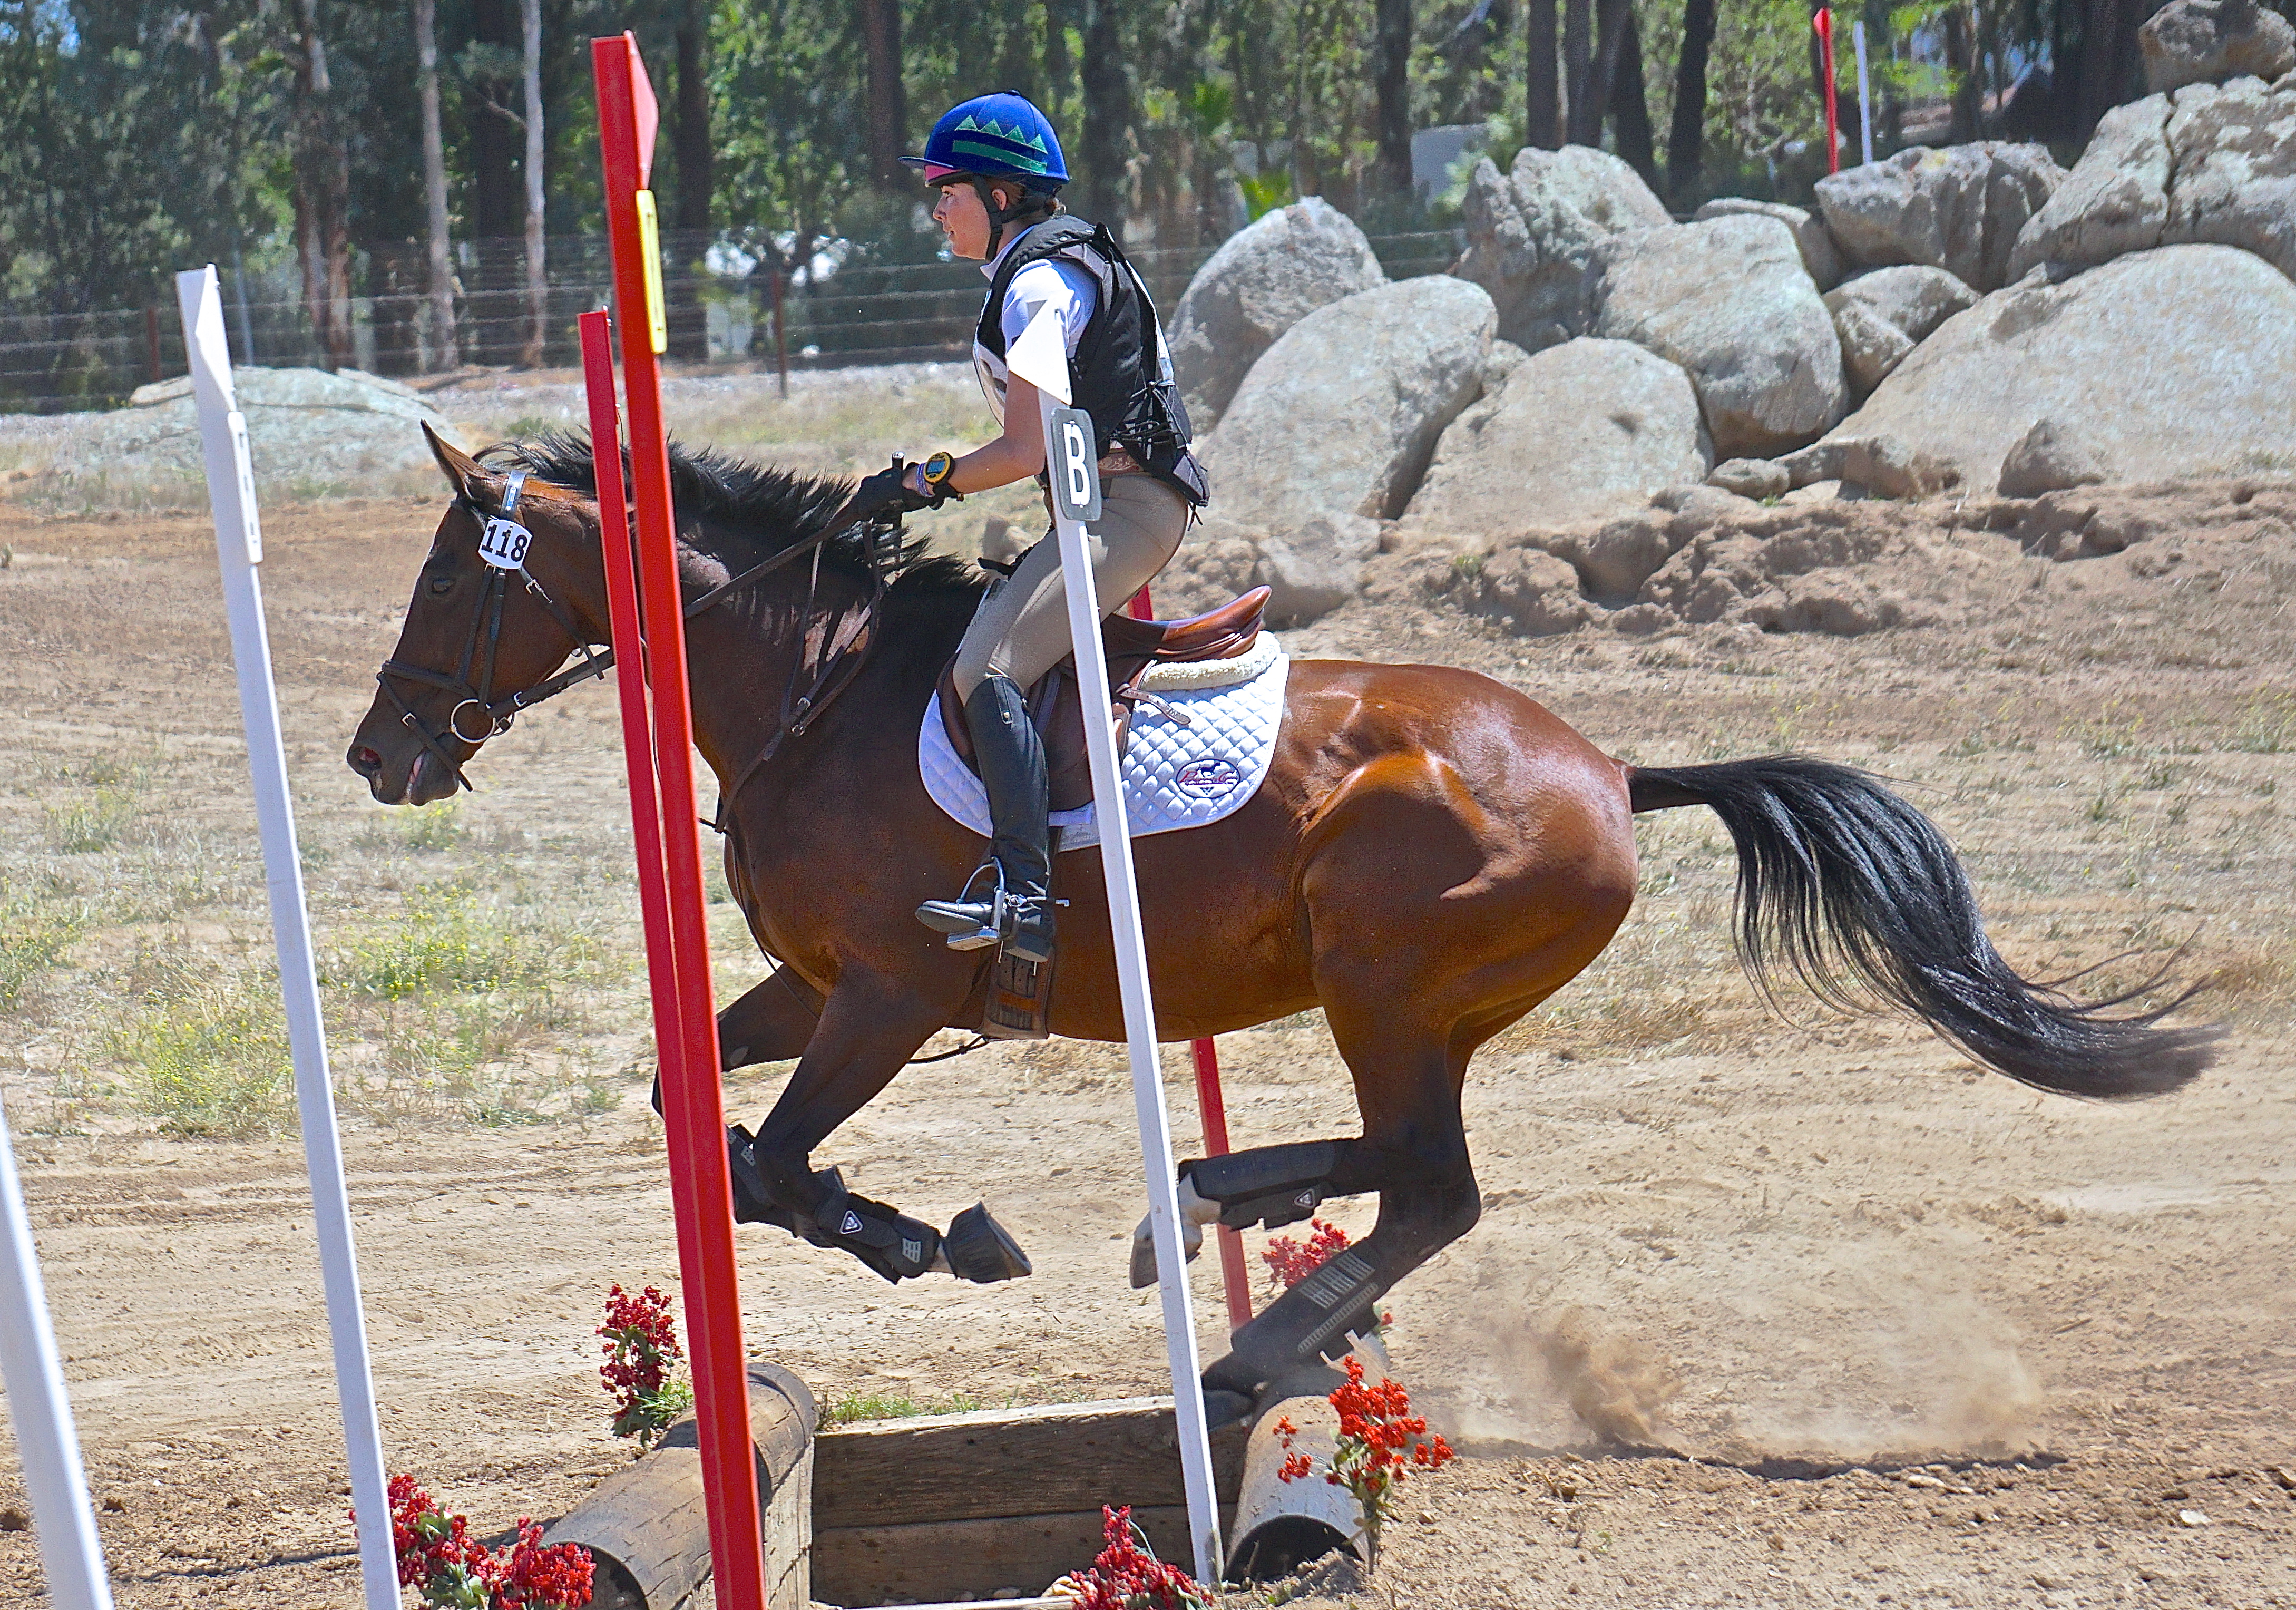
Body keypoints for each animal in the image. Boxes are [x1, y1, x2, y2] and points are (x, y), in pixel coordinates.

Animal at [349, 429, 2213, 1414]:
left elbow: (770, 1160)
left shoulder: (884, 995)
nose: (378, 753)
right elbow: (707, 1112)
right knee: (1405, 1174)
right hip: (1409, 998)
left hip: (1380, 968)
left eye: (446, 577)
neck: (816, 693)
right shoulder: (811, 992)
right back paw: (1239, 1241)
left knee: (1430, 1180)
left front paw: (930, 1236)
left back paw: (1236, 1297)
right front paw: (911, 1231)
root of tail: (1612, 767)